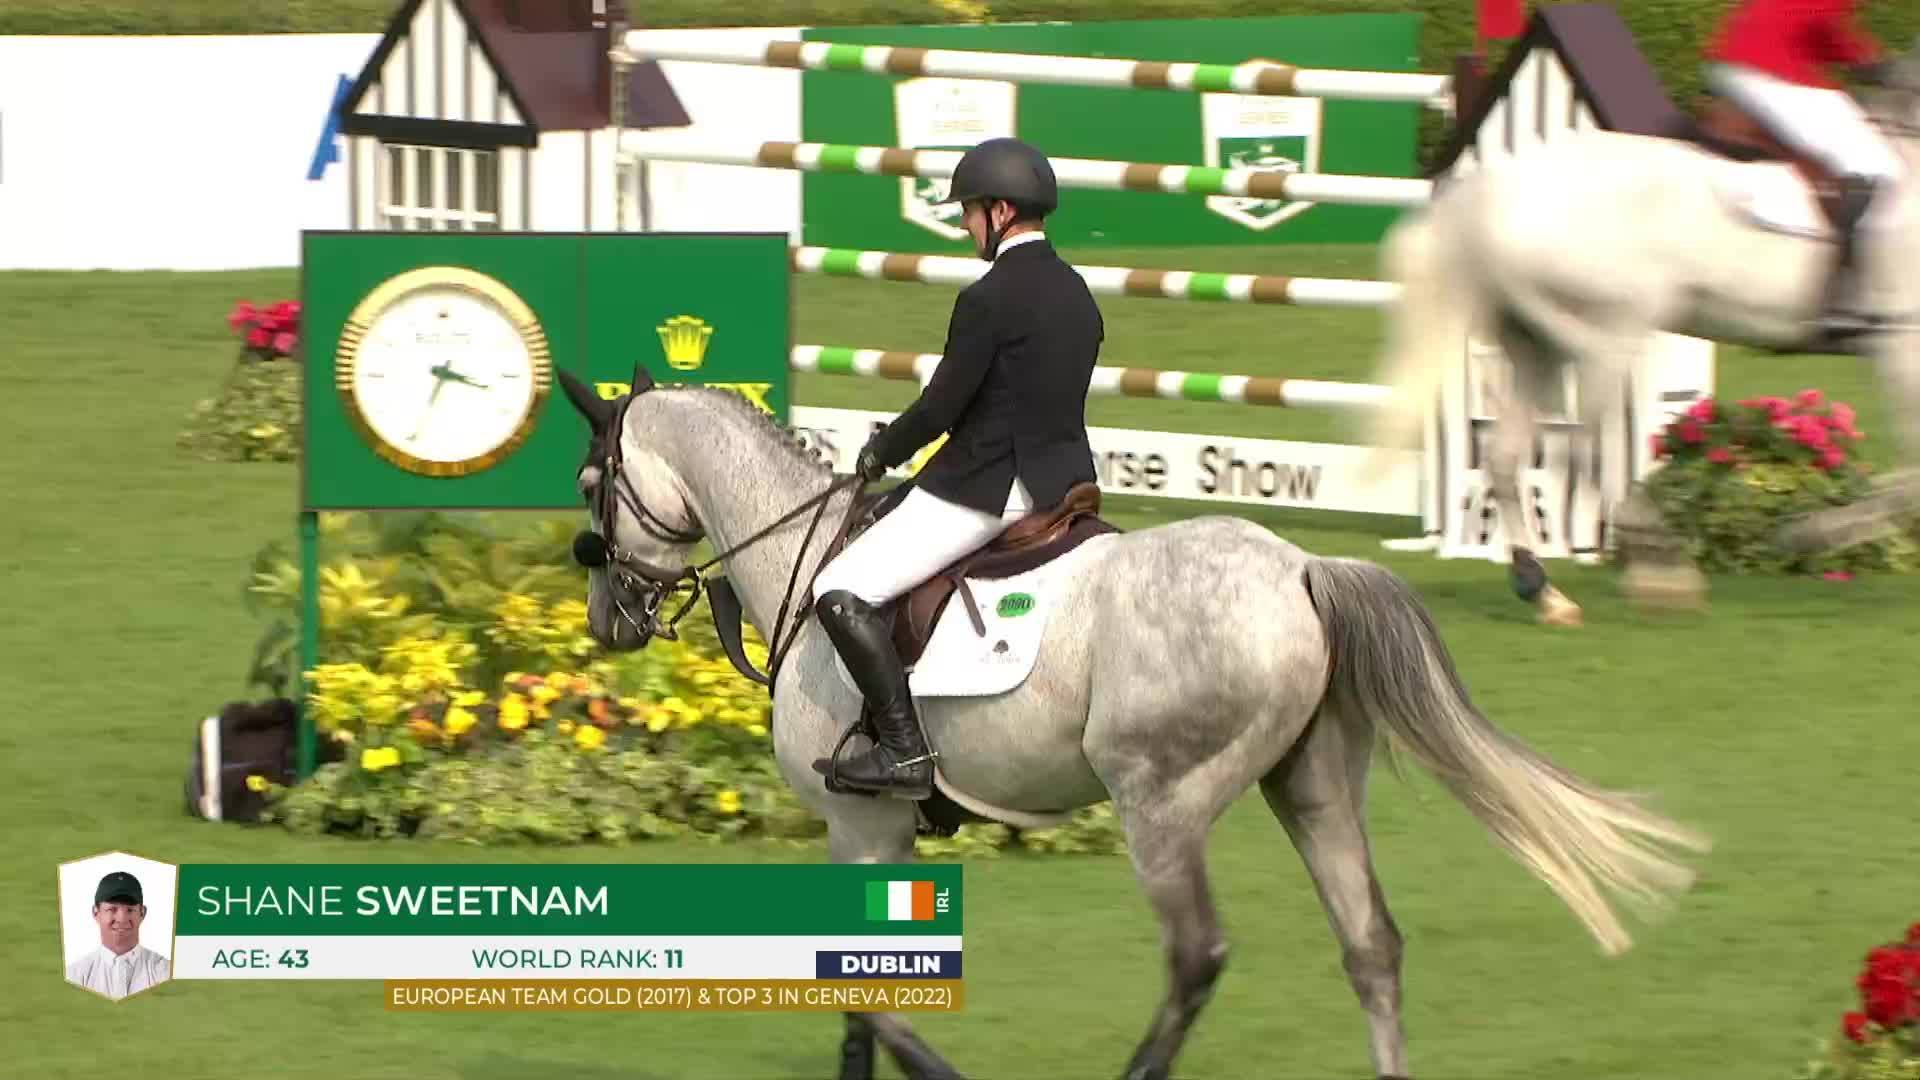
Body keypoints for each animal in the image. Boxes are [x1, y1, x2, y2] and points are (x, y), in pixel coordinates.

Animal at [554, 366, 1709, 1080]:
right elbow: (858, 1000)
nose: (609, 619)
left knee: (1196, 956)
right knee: (1371, 946)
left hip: (1161, 801)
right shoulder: (874, 836)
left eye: (592, 481)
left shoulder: (863, 821)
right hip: (1313, 785)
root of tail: (1300, 569)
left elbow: (864, 998)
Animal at [1363, 40, 1920, 622]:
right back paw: (1655, 560)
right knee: (1581, 454)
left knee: (1510, 457)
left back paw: (1542, 587)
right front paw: (1809, 534)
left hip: (1538, 347)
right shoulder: (1904, 344)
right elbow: (1913, 480)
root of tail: (1490, 196)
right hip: (1604, 333)